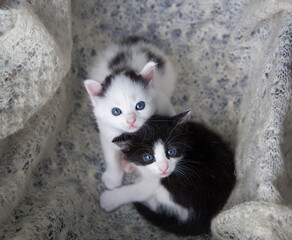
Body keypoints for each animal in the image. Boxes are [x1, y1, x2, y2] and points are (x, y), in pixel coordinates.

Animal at [100, 111, 235, 236]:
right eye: (148, 157)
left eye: (171, 151)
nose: (164, 168)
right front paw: (128, 163)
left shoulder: (156, 181)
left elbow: (137, 191)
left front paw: (109, 199)